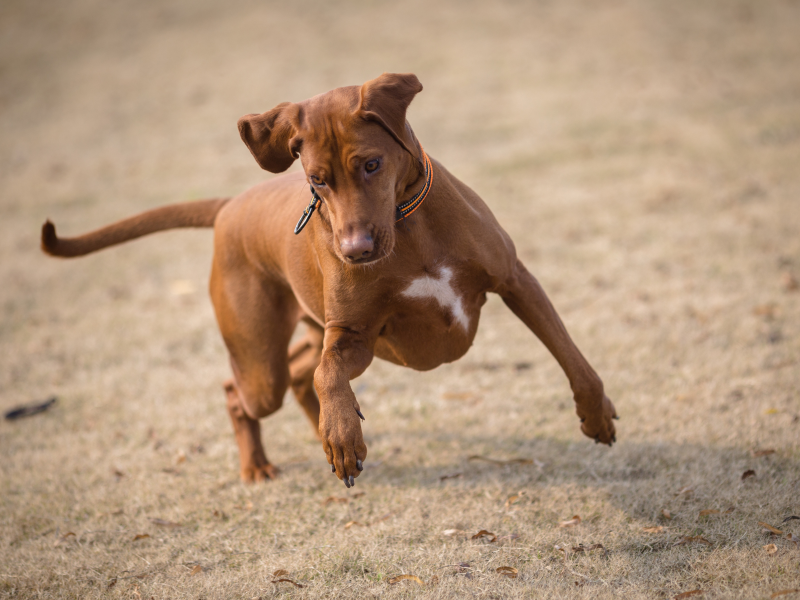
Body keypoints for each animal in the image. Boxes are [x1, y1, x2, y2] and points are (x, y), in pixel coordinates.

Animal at [42, 74, 620, 488]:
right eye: (317, 180)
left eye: (371, 164)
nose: (355, 251)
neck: (409, 228)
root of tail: (230, 205)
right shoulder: (354, 335)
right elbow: (328, 375)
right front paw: (343, 435)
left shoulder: (516, 281)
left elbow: (573, 357)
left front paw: (596, 415)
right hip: (261, 364)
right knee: (244, 389)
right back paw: (260, 464)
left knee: (299, 373)